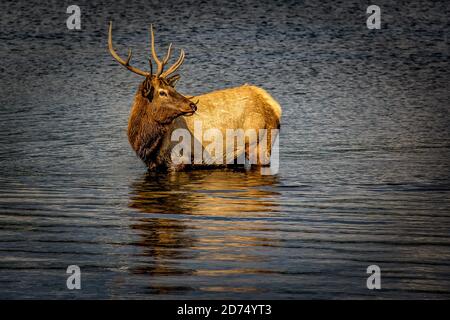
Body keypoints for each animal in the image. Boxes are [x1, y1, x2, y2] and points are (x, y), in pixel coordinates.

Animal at [108, 21, 282, 172]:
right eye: (162, 92)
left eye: (171, 87)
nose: (192, 105)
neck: (146, 145)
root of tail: (275, 106)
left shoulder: (179, 159)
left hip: (259, 145)